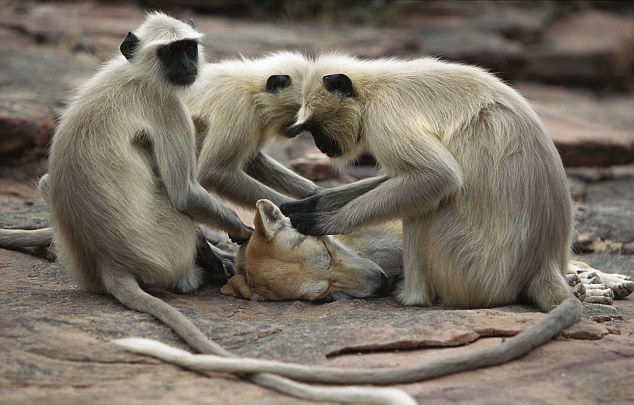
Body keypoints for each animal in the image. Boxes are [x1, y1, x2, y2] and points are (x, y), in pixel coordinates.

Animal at [183, 51, 320, 208]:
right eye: (300, 112)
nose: (301, 129)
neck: (253, 90)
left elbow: (253, 159)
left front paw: (318, 193)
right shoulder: (239, 107)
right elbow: (215, 172)